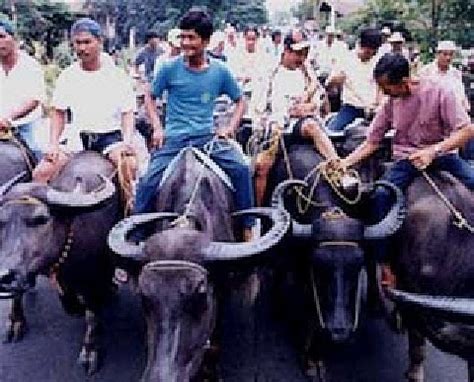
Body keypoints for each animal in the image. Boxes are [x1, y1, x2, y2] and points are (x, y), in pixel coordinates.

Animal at [0, 151, 119, 374]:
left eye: (41, 219)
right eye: (0, 222)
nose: (3, 277)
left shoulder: (95, 280)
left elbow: (92, 314)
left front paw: (90, 351)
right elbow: (18, 291)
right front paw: (15, 321)